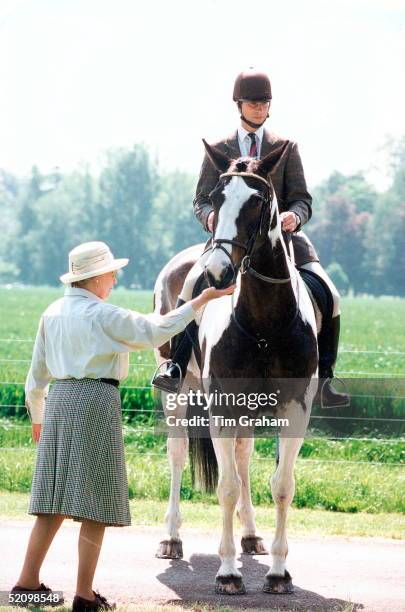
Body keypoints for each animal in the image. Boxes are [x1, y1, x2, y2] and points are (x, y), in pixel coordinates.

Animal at [152, 141, 318, 596]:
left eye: (259, 200)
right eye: (215, 198)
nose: (216, 272)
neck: (263, 320)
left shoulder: (295, 410)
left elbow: (281, 486)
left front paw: (278, 572)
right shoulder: (222, 407)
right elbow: (225, 487)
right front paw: (227, 572)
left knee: (243, 459)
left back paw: (251, 535)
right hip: (178, 393)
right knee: (177, 454)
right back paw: (171, 538)